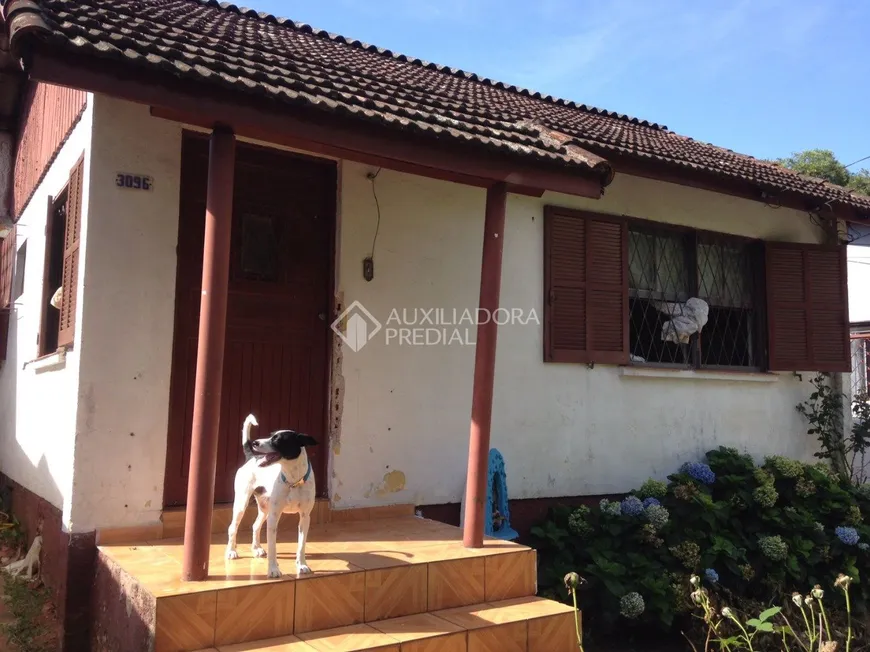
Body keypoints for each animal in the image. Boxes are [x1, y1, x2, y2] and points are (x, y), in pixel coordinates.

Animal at [227, 416, 318, 580]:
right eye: (271, 435)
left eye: (278, 439)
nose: (255, 443)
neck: (293, 481)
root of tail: (252, 457)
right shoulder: (274, 517)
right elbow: (272, 547)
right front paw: (273, 570)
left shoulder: (305, 517)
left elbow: (301, 545)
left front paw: (301, 565)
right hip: (241, 505)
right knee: (232, 527)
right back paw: (231, 551)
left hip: (264, 509)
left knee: (255, 525)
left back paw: (256, 548)